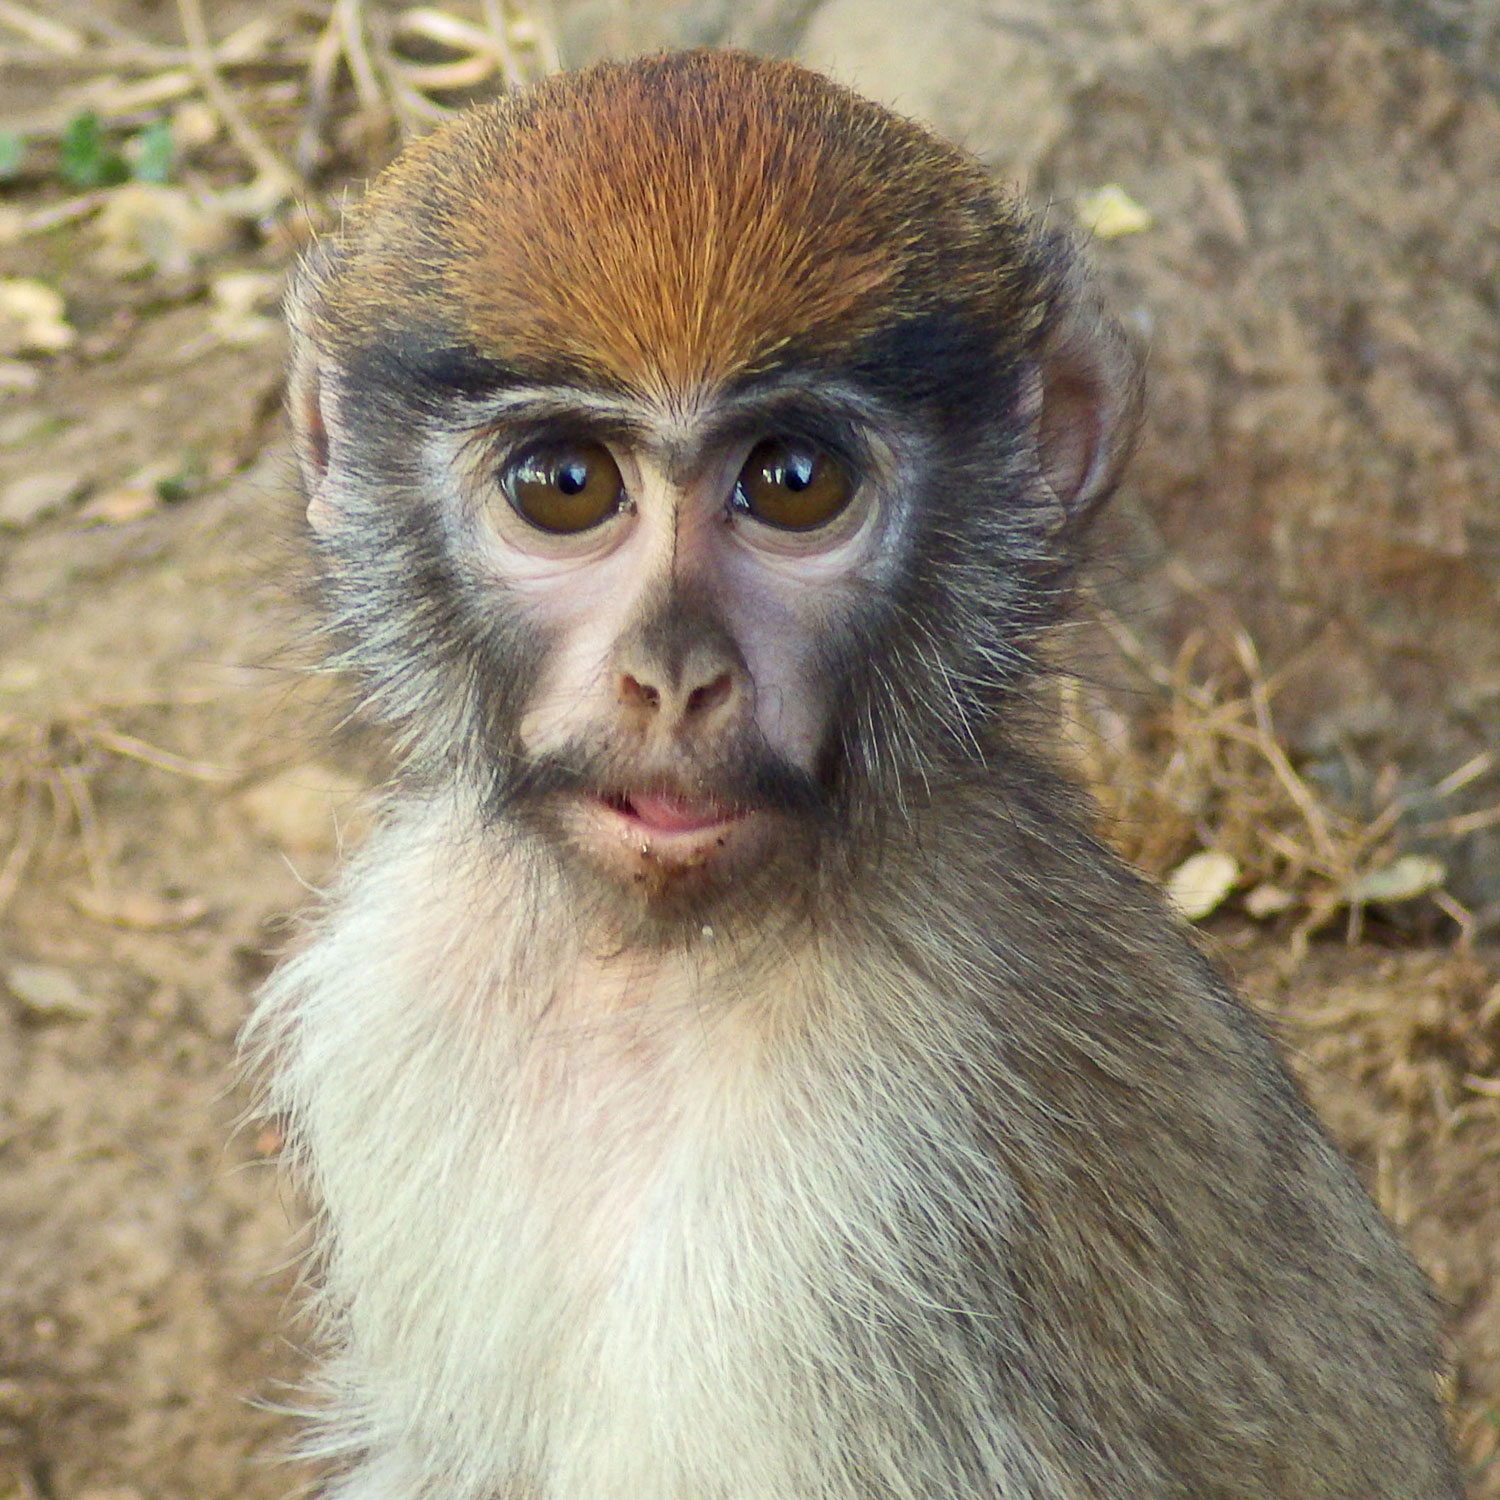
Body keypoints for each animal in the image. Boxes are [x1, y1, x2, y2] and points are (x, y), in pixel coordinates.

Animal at [247, 48, 1463, 1500]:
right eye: (564, 484)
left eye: (793, 480)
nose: (674, 678)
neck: (658, 962)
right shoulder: (402, 988)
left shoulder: (873, 1182)